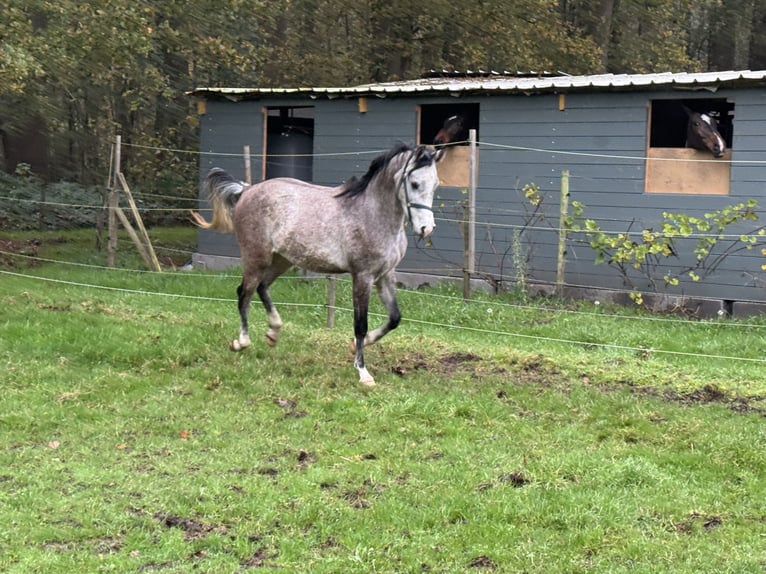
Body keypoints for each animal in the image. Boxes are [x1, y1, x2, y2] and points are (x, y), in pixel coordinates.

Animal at [194, 143, 444, 388]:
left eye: (436, 185)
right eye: (414, 183)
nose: (426, 229)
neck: (371, 214)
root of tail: (246, 190)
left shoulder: (384, 275)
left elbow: (394, 318)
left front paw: (358, 345)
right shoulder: (362, 276)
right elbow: (360, 324)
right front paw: (363, 373)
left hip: (282, 260)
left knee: (262, 287)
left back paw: (273, 333)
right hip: (256, 257)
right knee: (244, 293)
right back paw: (241, 342)